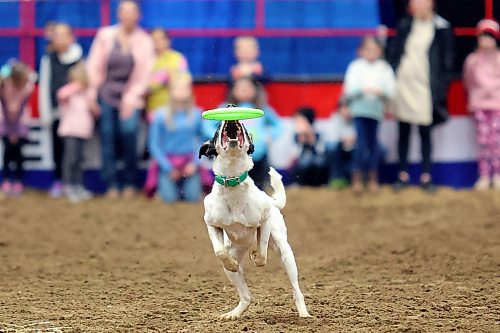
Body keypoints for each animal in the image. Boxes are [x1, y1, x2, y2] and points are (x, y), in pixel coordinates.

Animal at [199, 118, 312, 318]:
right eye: (217, 128)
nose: (230, 111)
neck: (233, 185)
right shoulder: (211, 224)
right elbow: (219, 251)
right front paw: (231, 263)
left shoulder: (265, 220)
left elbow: (262, 250)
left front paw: (257, 257)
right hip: (234, 267)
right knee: (246, 297)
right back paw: (234, 313)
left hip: (286, 254)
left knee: (296, 291)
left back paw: (304, 314)